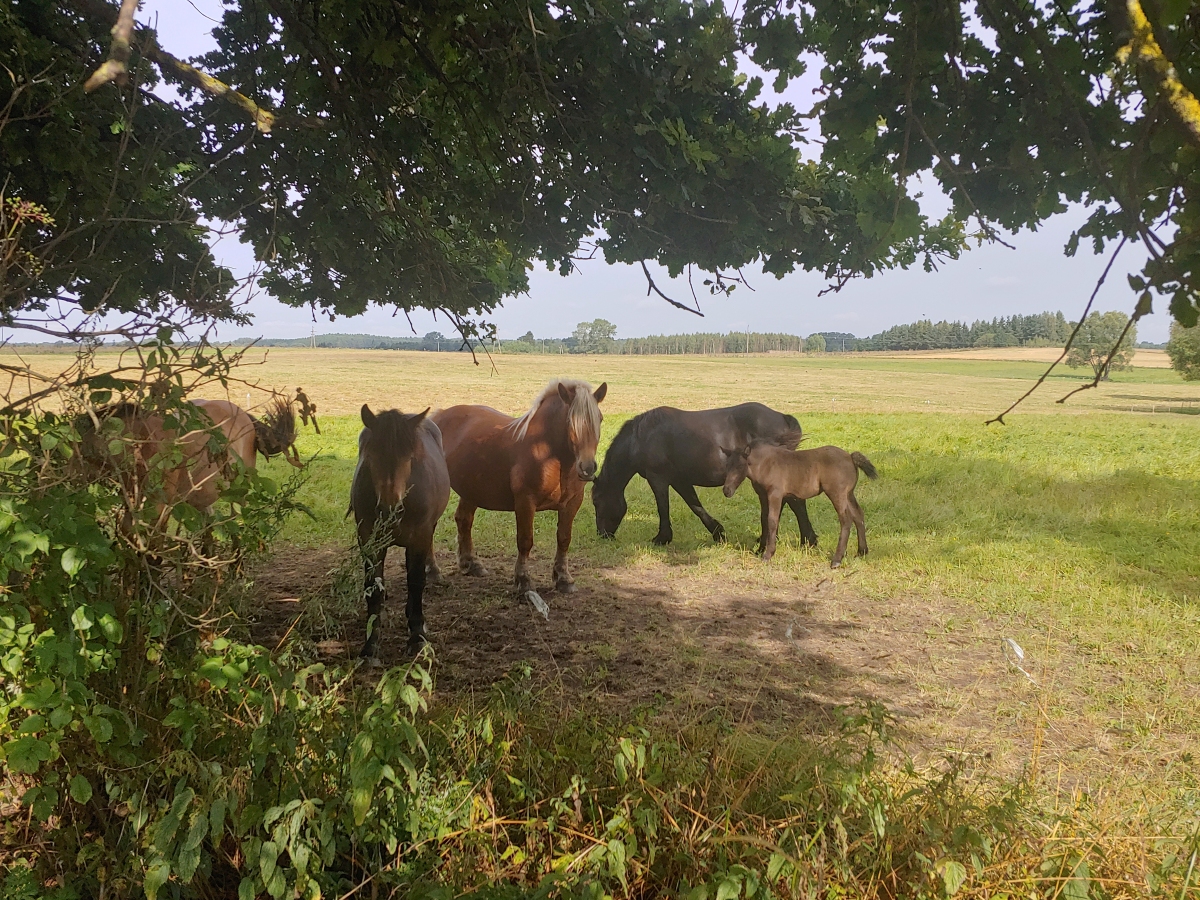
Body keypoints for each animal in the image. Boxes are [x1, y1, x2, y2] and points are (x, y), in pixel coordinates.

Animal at [355, 405, 453, 657]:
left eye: (409, 457)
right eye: (371, 454)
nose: (389, 507)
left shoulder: (419, 537)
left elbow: (416, 581)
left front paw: (417, 636)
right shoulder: (368, 539)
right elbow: (373, 586)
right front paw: (371, 644)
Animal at [427, 381, 604, 600]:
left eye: (600, 419)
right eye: (570, 421)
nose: (587, 468)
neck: (547, 451)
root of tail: (437, 417)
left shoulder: (571, 504)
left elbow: (564, 539)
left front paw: (564, 579)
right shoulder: (525, 503)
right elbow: (525, 541)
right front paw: (523, 581)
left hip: (471, 489)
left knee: (464, 520)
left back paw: (471, 564)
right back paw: (433, 571)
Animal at [592, 403, 820, 547]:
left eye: (596, 501)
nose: (602, 535)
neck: (640, 438)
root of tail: (783, 418)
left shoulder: (658, 479)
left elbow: (663, 507)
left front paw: (662, 538)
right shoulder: (679, 479)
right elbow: (695, 505)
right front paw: (718, 533)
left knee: (794, 502)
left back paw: (805, 540)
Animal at [715, 427, 878, 566]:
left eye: (740, 466)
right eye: (727, 466)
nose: (727, 490)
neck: (766, 464)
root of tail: (850, 457)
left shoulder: (775, 494)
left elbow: (772, 520)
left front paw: (768, 554)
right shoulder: (762, 495)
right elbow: (764, 519)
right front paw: (760, 549)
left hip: (837, 494)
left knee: (846, 519)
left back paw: (837, 559)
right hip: (848, 494)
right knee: (858, 515)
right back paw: (862, 552)